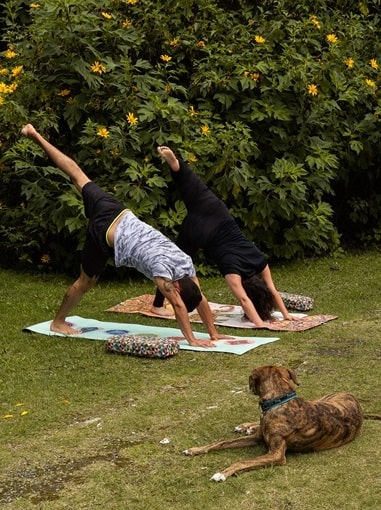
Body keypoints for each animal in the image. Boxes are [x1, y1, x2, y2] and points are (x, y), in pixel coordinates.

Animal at [183, 364, 378, 480]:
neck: (279, 400)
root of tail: (355, 400)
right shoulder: (257, 438)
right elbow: (220, 443)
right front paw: (195, 450)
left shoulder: (275, 454)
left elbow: (242, 462)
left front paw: (222, 473)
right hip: (321, 399)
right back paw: (245, 426)